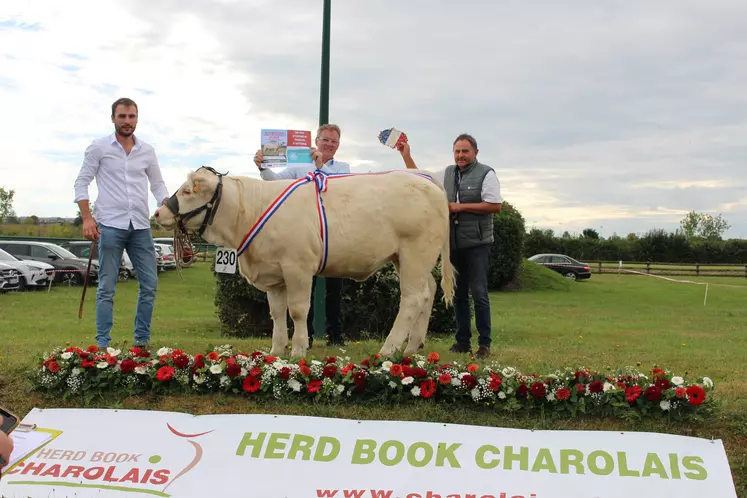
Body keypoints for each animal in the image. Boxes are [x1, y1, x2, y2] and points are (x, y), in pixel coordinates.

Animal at [155, 167, 452, 358]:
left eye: (186, 191)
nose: (158, 213)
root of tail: (425, 179)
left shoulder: (297, 267)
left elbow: (298, 311)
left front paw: (298, 350)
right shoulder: (273, 274)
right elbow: (276, 313)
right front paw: (276, 350)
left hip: (415, 253)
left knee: (413, 298)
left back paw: (389, 349)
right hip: (408, 259)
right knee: (428, 292)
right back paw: (412, 347)